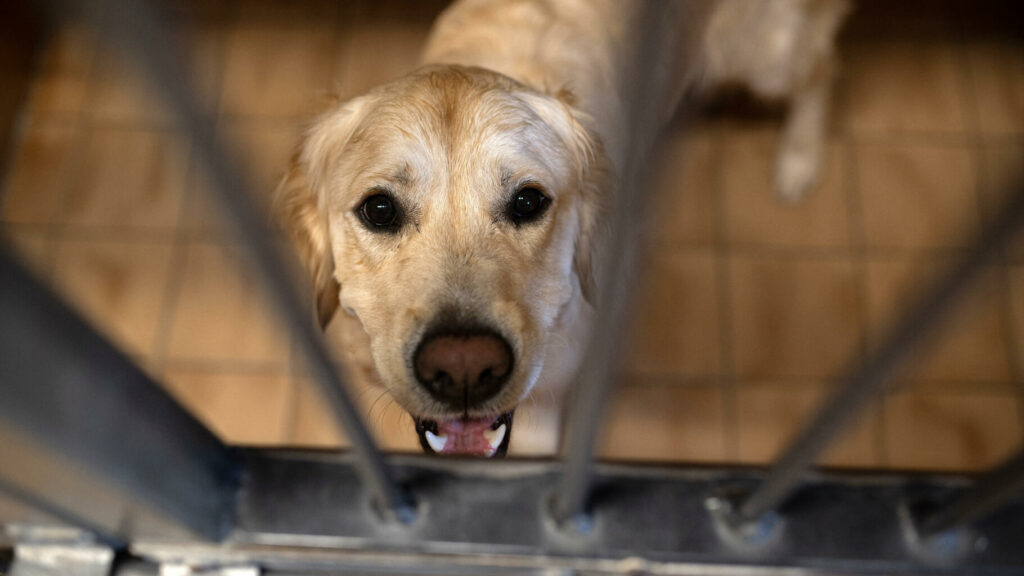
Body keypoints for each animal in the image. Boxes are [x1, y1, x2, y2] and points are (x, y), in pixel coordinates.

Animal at [276, 1, 851, 457]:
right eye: (379, 209)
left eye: (528, 201)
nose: (464, 369)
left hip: (766, 51)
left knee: (822, 66)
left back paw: (799, 160)